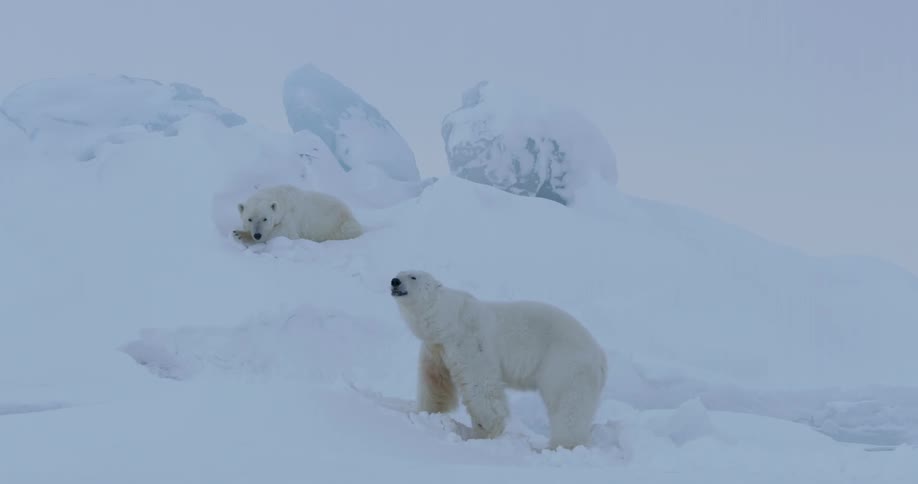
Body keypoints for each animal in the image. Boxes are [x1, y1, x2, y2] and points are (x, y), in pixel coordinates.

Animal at [233, 184, 363, 245]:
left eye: (265, 219)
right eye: (249, 219)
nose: (257, 235)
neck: (282, 198)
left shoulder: (290, 218)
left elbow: (284, 234)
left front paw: (240, 234)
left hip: (340, 226)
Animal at [389, 270, 608, 450]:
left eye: (413, 276)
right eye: (399, 272)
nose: (394, 281)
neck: (447, 318)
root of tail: (600, 355)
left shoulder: (468, 340)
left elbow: (480, 383)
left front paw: (483, 431)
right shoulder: (436, 348)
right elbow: (434, 381)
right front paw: (426, 412)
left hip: (566, 363)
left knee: (568, 403)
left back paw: (561, 444)